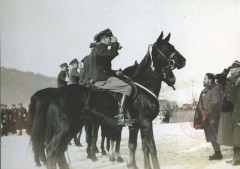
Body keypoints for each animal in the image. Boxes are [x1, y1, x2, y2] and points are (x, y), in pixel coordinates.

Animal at [31, 32, 187, 169]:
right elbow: (151, 148)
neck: (143, 86)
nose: (183, 61)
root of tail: (55, 93)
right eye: (166, 47)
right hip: (65, 128)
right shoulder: (146, 123)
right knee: (52, 149)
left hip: (73, 127)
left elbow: (138, 147)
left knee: (59, 151)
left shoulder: (136, 126)